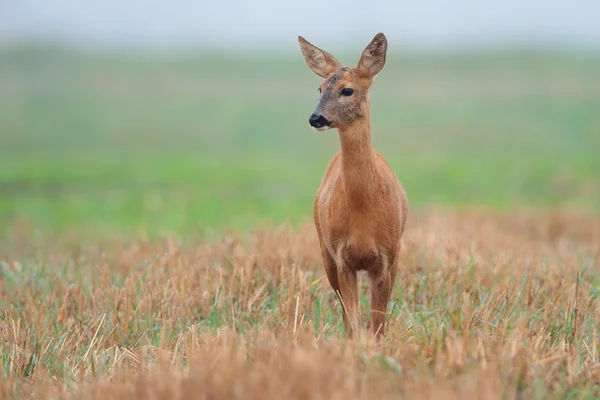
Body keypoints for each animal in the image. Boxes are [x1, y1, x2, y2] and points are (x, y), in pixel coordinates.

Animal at [298, 32, 410, 338]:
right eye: (320, 87)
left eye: (347, 90)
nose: (316, 118)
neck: (363, 210)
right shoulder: (341, 257)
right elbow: (354, 324)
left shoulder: (387, 257)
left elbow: (378, 325)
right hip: (324, 250)